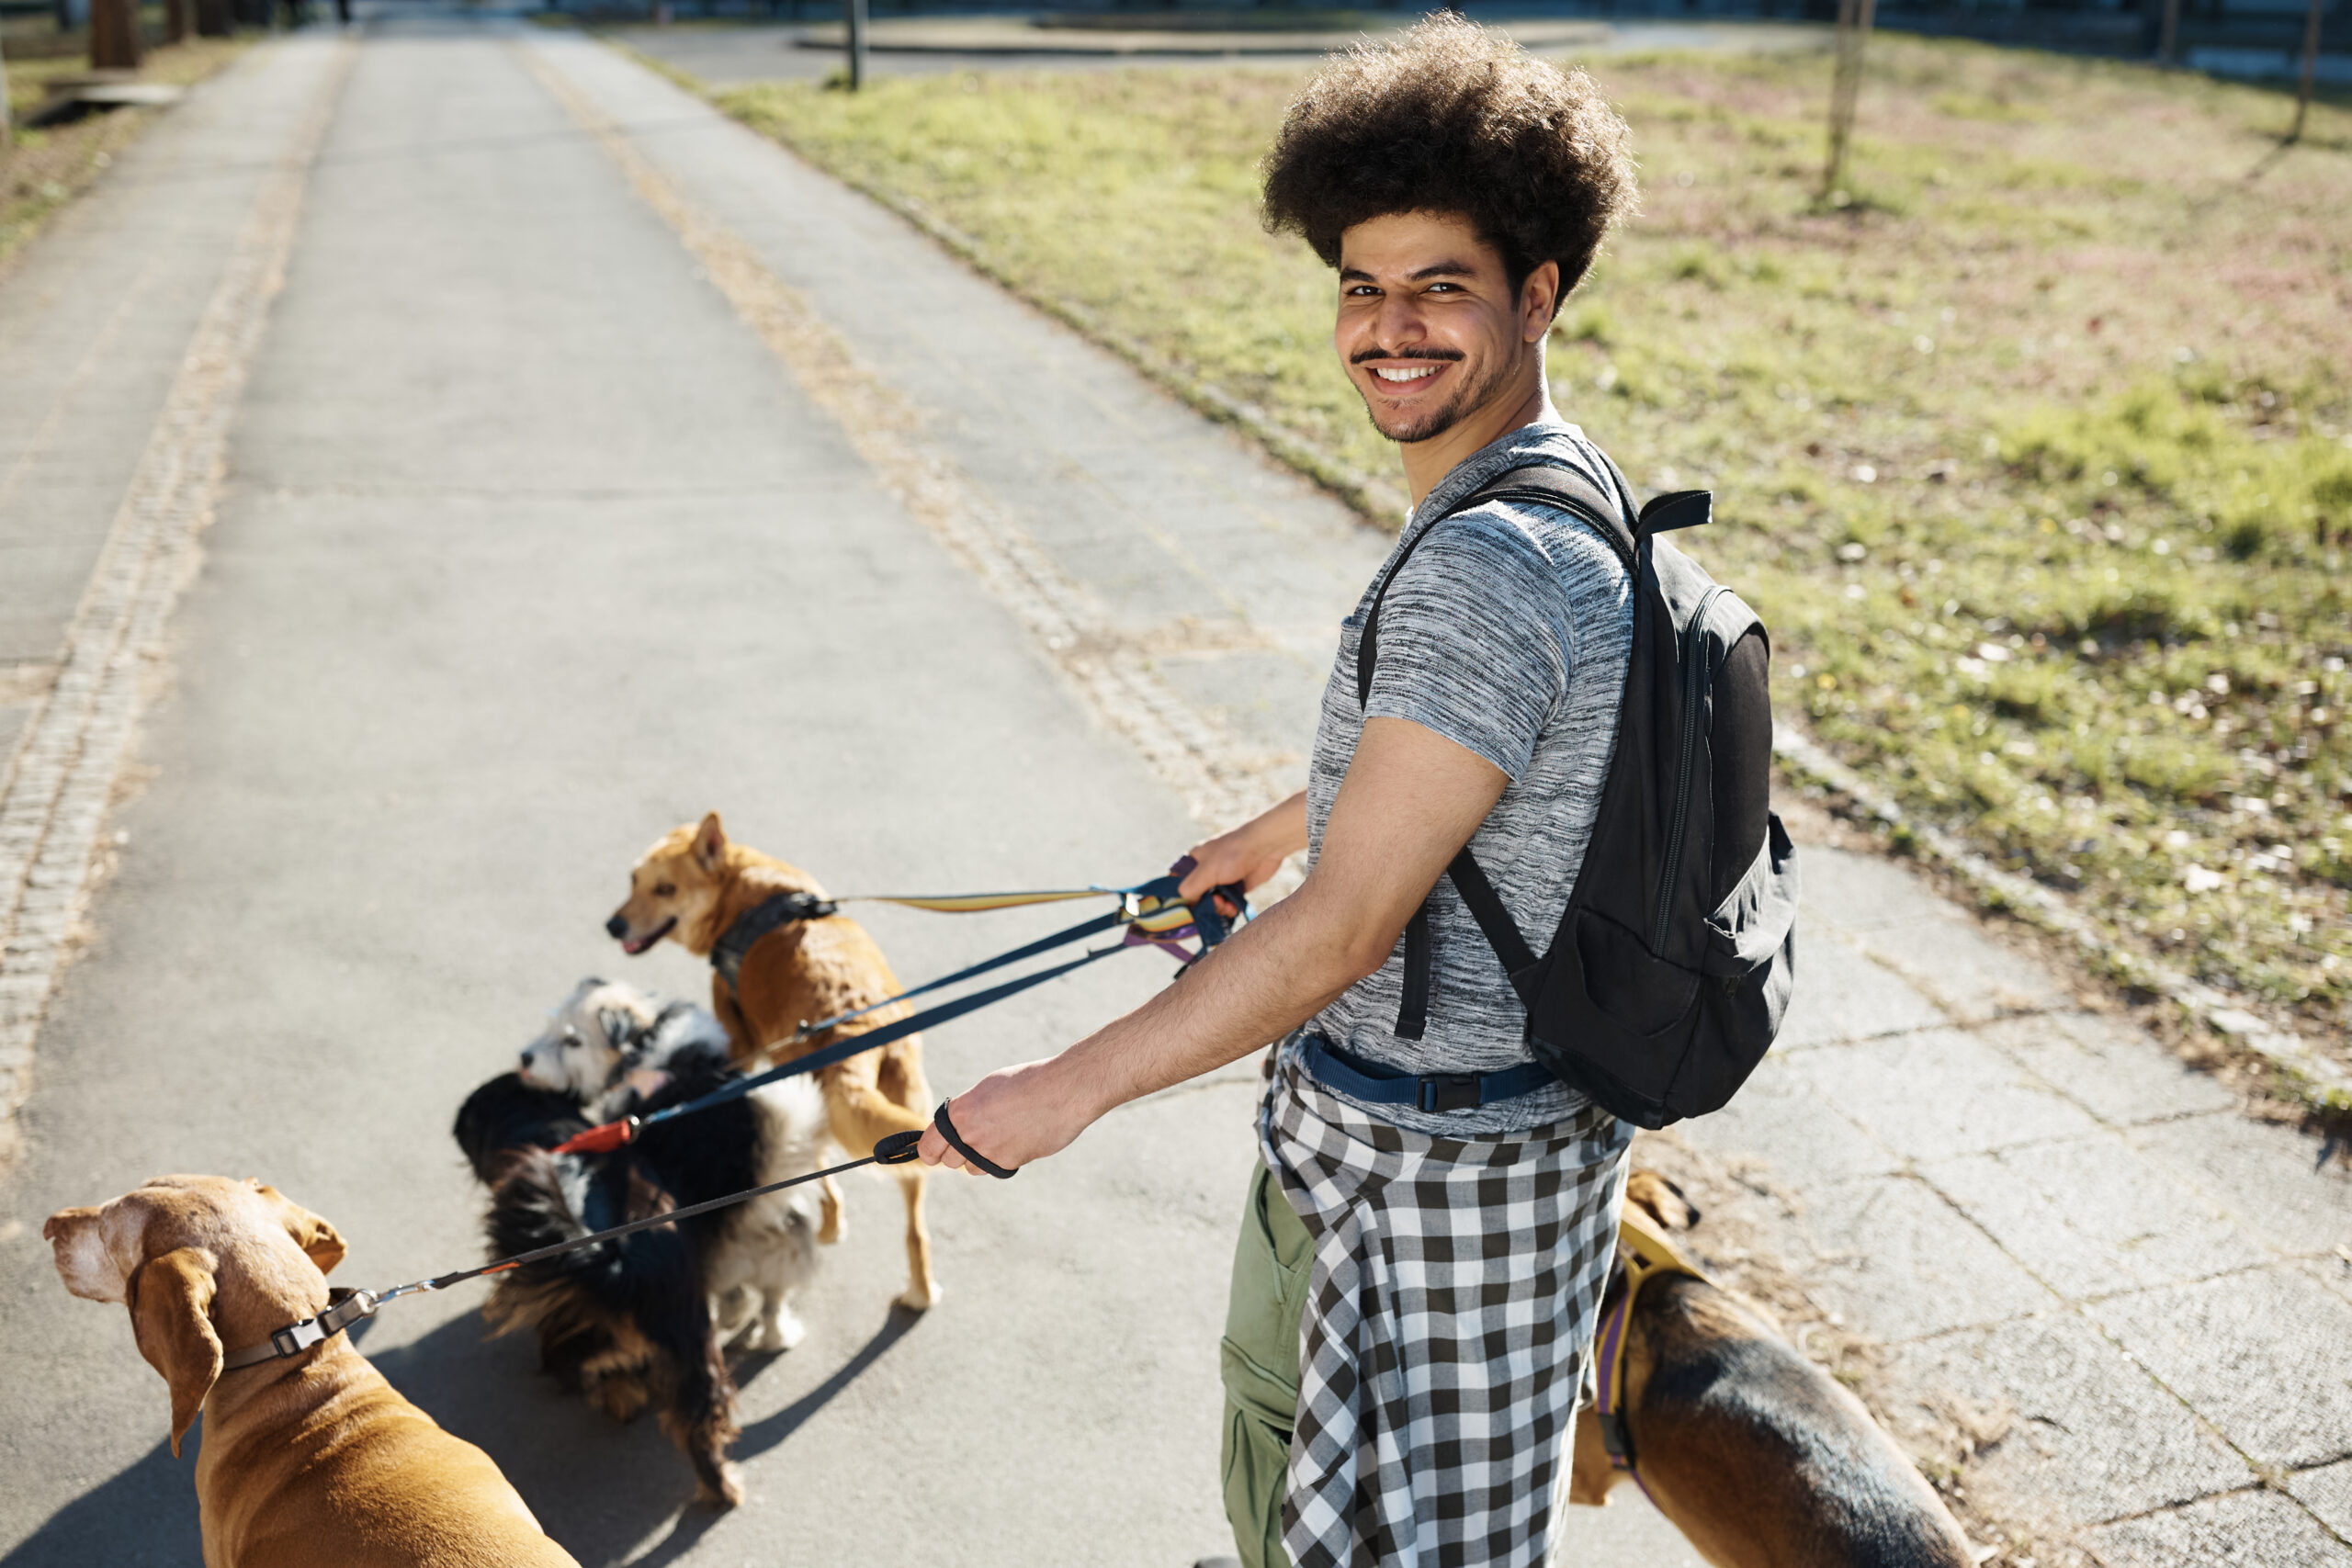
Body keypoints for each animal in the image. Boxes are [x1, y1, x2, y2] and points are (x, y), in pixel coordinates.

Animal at [454, 982, 832, 1504]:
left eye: (571, 1040)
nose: (526, 1057)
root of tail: (613, 1258)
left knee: (584, 1363)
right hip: (713, 1313)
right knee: (759, 1315)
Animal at [611, 808, 941, 1316]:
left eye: (664, 889)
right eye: (633, 881)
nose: (614, 926)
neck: (743, 890)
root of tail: (857, 1027)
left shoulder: (741, 1040)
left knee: (820, 1182)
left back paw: (830, 1228)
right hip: (908, 1119)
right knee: (915, 1224)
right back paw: (921, 1291)